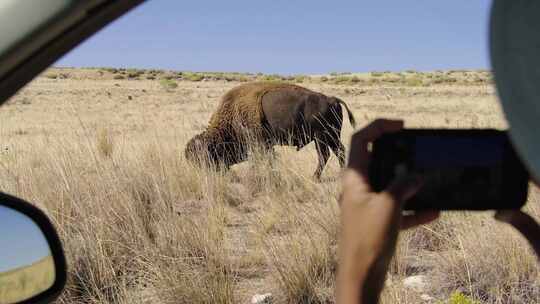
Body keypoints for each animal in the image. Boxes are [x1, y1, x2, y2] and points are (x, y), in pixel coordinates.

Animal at [184, 82, 356, 179]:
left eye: (204, 157)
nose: (204, 175)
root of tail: (332, 99)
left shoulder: (259, 145)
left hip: (322, 137)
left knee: (325, 155)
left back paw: (315, 177)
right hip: (330, 137)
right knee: (339, 151)